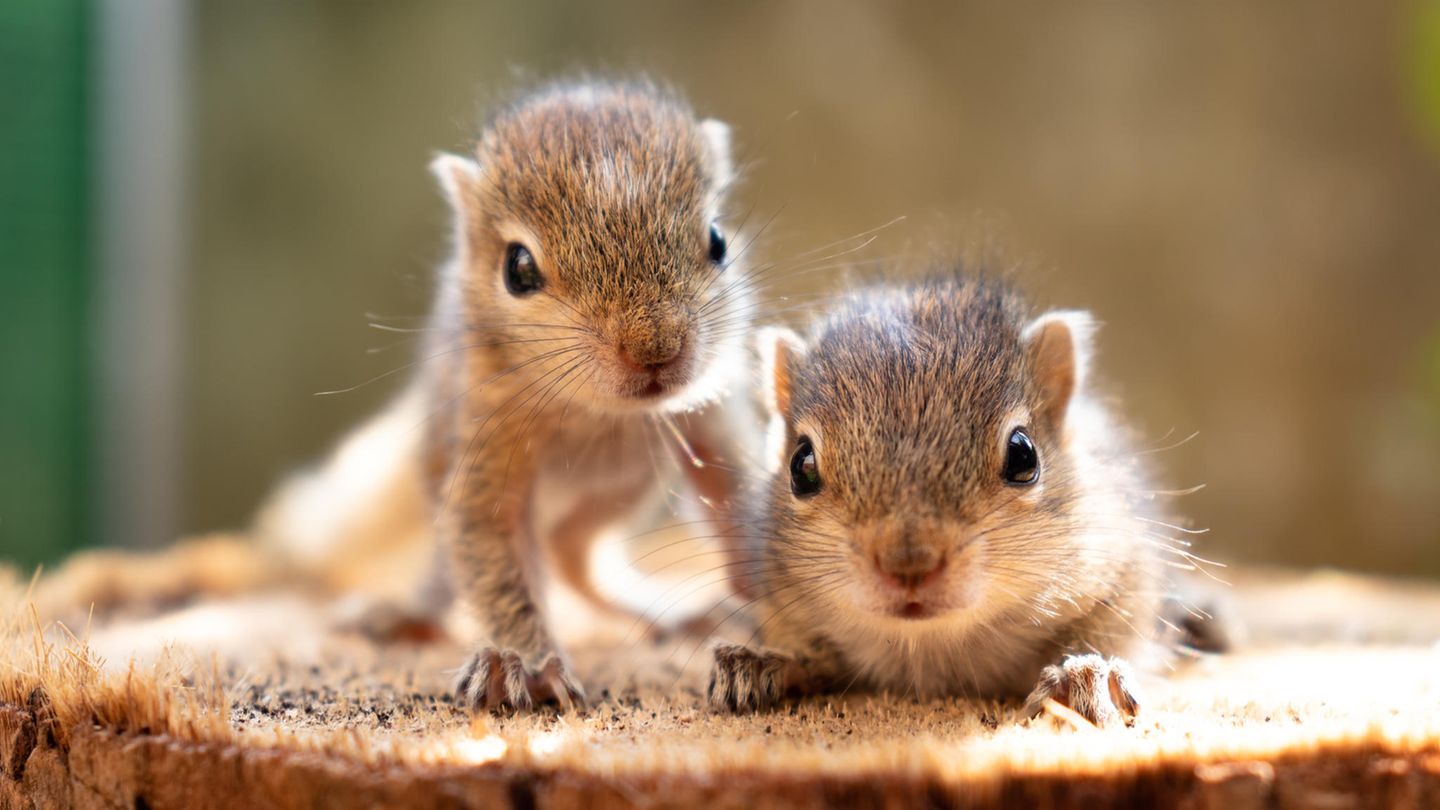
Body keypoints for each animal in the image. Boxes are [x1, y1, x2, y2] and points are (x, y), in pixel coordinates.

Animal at [702, 273, 1198, 720]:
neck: (927, 644)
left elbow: (1112, 635)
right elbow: (812, 657)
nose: (909, 564)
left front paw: (1087, 674)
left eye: (1023, 455)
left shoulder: (1124, 575)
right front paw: (759, 664)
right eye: (801, 466)